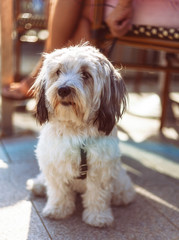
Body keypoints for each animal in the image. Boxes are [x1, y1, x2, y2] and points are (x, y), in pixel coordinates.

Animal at [27, 42, 135, 227]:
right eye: (58, 72)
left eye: (86, 74)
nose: (63, 89)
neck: (76, 131)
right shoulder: (55, 164)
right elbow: (58, 191)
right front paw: (58, 209)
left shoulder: (101, 168)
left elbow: (98, 195)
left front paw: (98, 217)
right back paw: (38, 185)